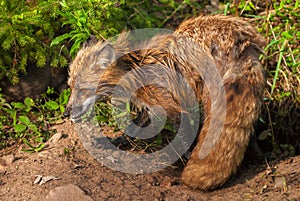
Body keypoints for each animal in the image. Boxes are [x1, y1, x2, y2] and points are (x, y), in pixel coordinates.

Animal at [63, 15, 264, 190]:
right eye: (71, 87)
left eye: (83, 90)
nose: (66, 113)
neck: (135, 69)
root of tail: (241, 38)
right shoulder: (150, 104)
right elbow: (133, 130)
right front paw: (112, 142)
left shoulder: (170, 104)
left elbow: (183, 136)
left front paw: (185, 159)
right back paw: (258, 156)